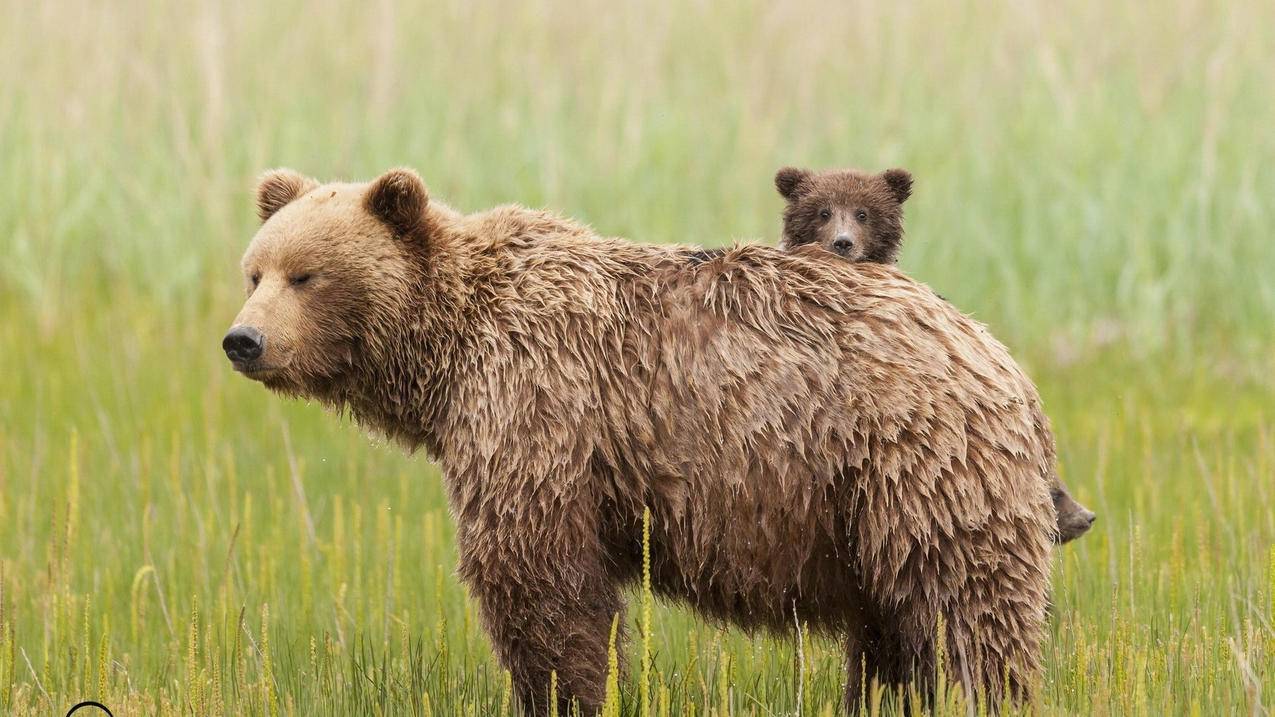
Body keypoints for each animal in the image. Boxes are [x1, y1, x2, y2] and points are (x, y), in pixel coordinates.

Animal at [221, 165, 1055, 709]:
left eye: (308, 275)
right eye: (254, 271)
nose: (243, 341)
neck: (448, 357)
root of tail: (996, 351)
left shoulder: (538, 405)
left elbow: (537, 580)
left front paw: (570, 691)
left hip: (914, 461)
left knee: (970, 606)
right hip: (866, 511)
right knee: (892, 625)